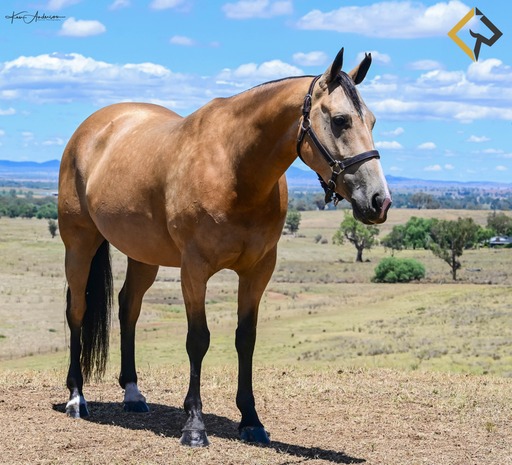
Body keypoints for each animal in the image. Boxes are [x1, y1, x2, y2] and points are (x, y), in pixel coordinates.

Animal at [57, 47, 391, 447]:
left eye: (372, 120)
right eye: (340, 120)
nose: (379, 201)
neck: (234, 168)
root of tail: (90, 130)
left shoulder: (258, 270)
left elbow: (245, 339)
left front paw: (251, 420)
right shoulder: (194, 269)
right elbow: (197, 340)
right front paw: (194, 426)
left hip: (143, 256)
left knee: (128, 308)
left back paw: (133, 393)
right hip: (80, 241)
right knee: (77, 310)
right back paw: (76, 397)